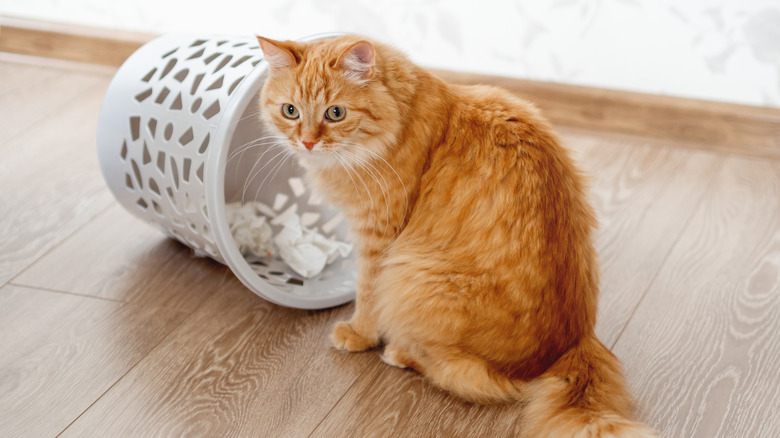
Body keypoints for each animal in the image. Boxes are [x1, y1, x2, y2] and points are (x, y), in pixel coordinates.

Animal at [258, 35, 660, 438]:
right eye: (290, 111)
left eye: (335, 113)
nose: (306, 143)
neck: (403, 118)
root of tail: (573, 344)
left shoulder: (379, 239)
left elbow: (367, 294)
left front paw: (358, 334)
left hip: (413, 276)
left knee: (472, 377)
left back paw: (402, 353)